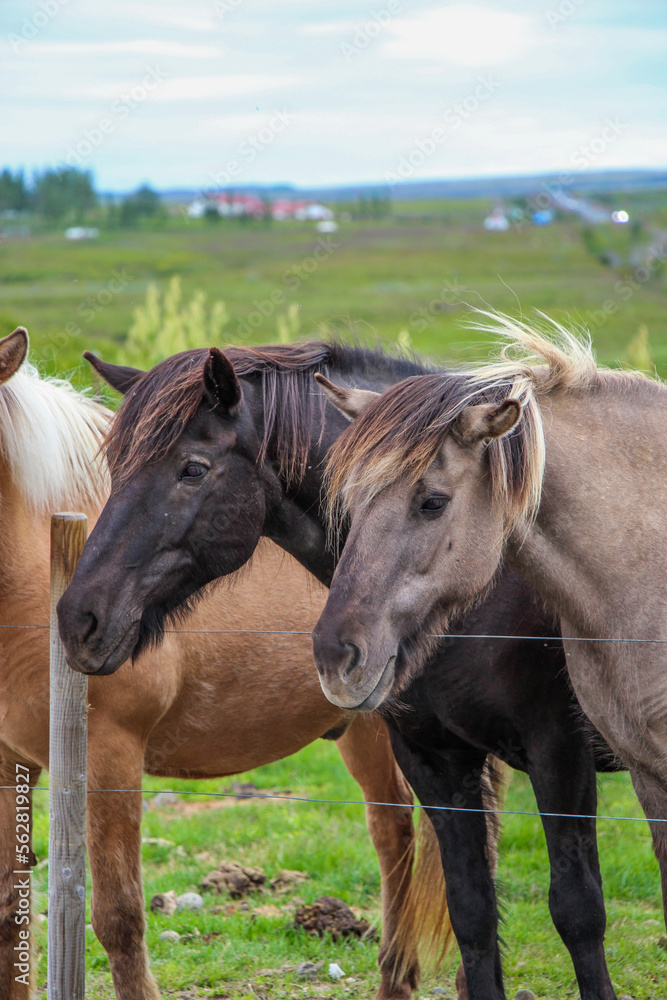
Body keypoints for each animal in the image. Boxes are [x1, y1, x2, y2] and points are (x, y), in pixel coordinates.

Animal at [0, 327, 447, 1000]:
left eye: (193, 470)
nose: (81, 622)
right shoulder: (9, 762)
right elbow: (11, 914)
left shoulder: (110, 754)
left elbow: (118, 918)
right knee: (394, 833)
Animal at [57, 336, 622, 997]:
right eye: (116, 468)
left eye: (192, 469)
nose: (78, 619)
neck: (485, 593)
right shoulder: (435, 759)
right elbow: (473, 914)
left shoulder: (559, 751)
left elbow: (578, 911)